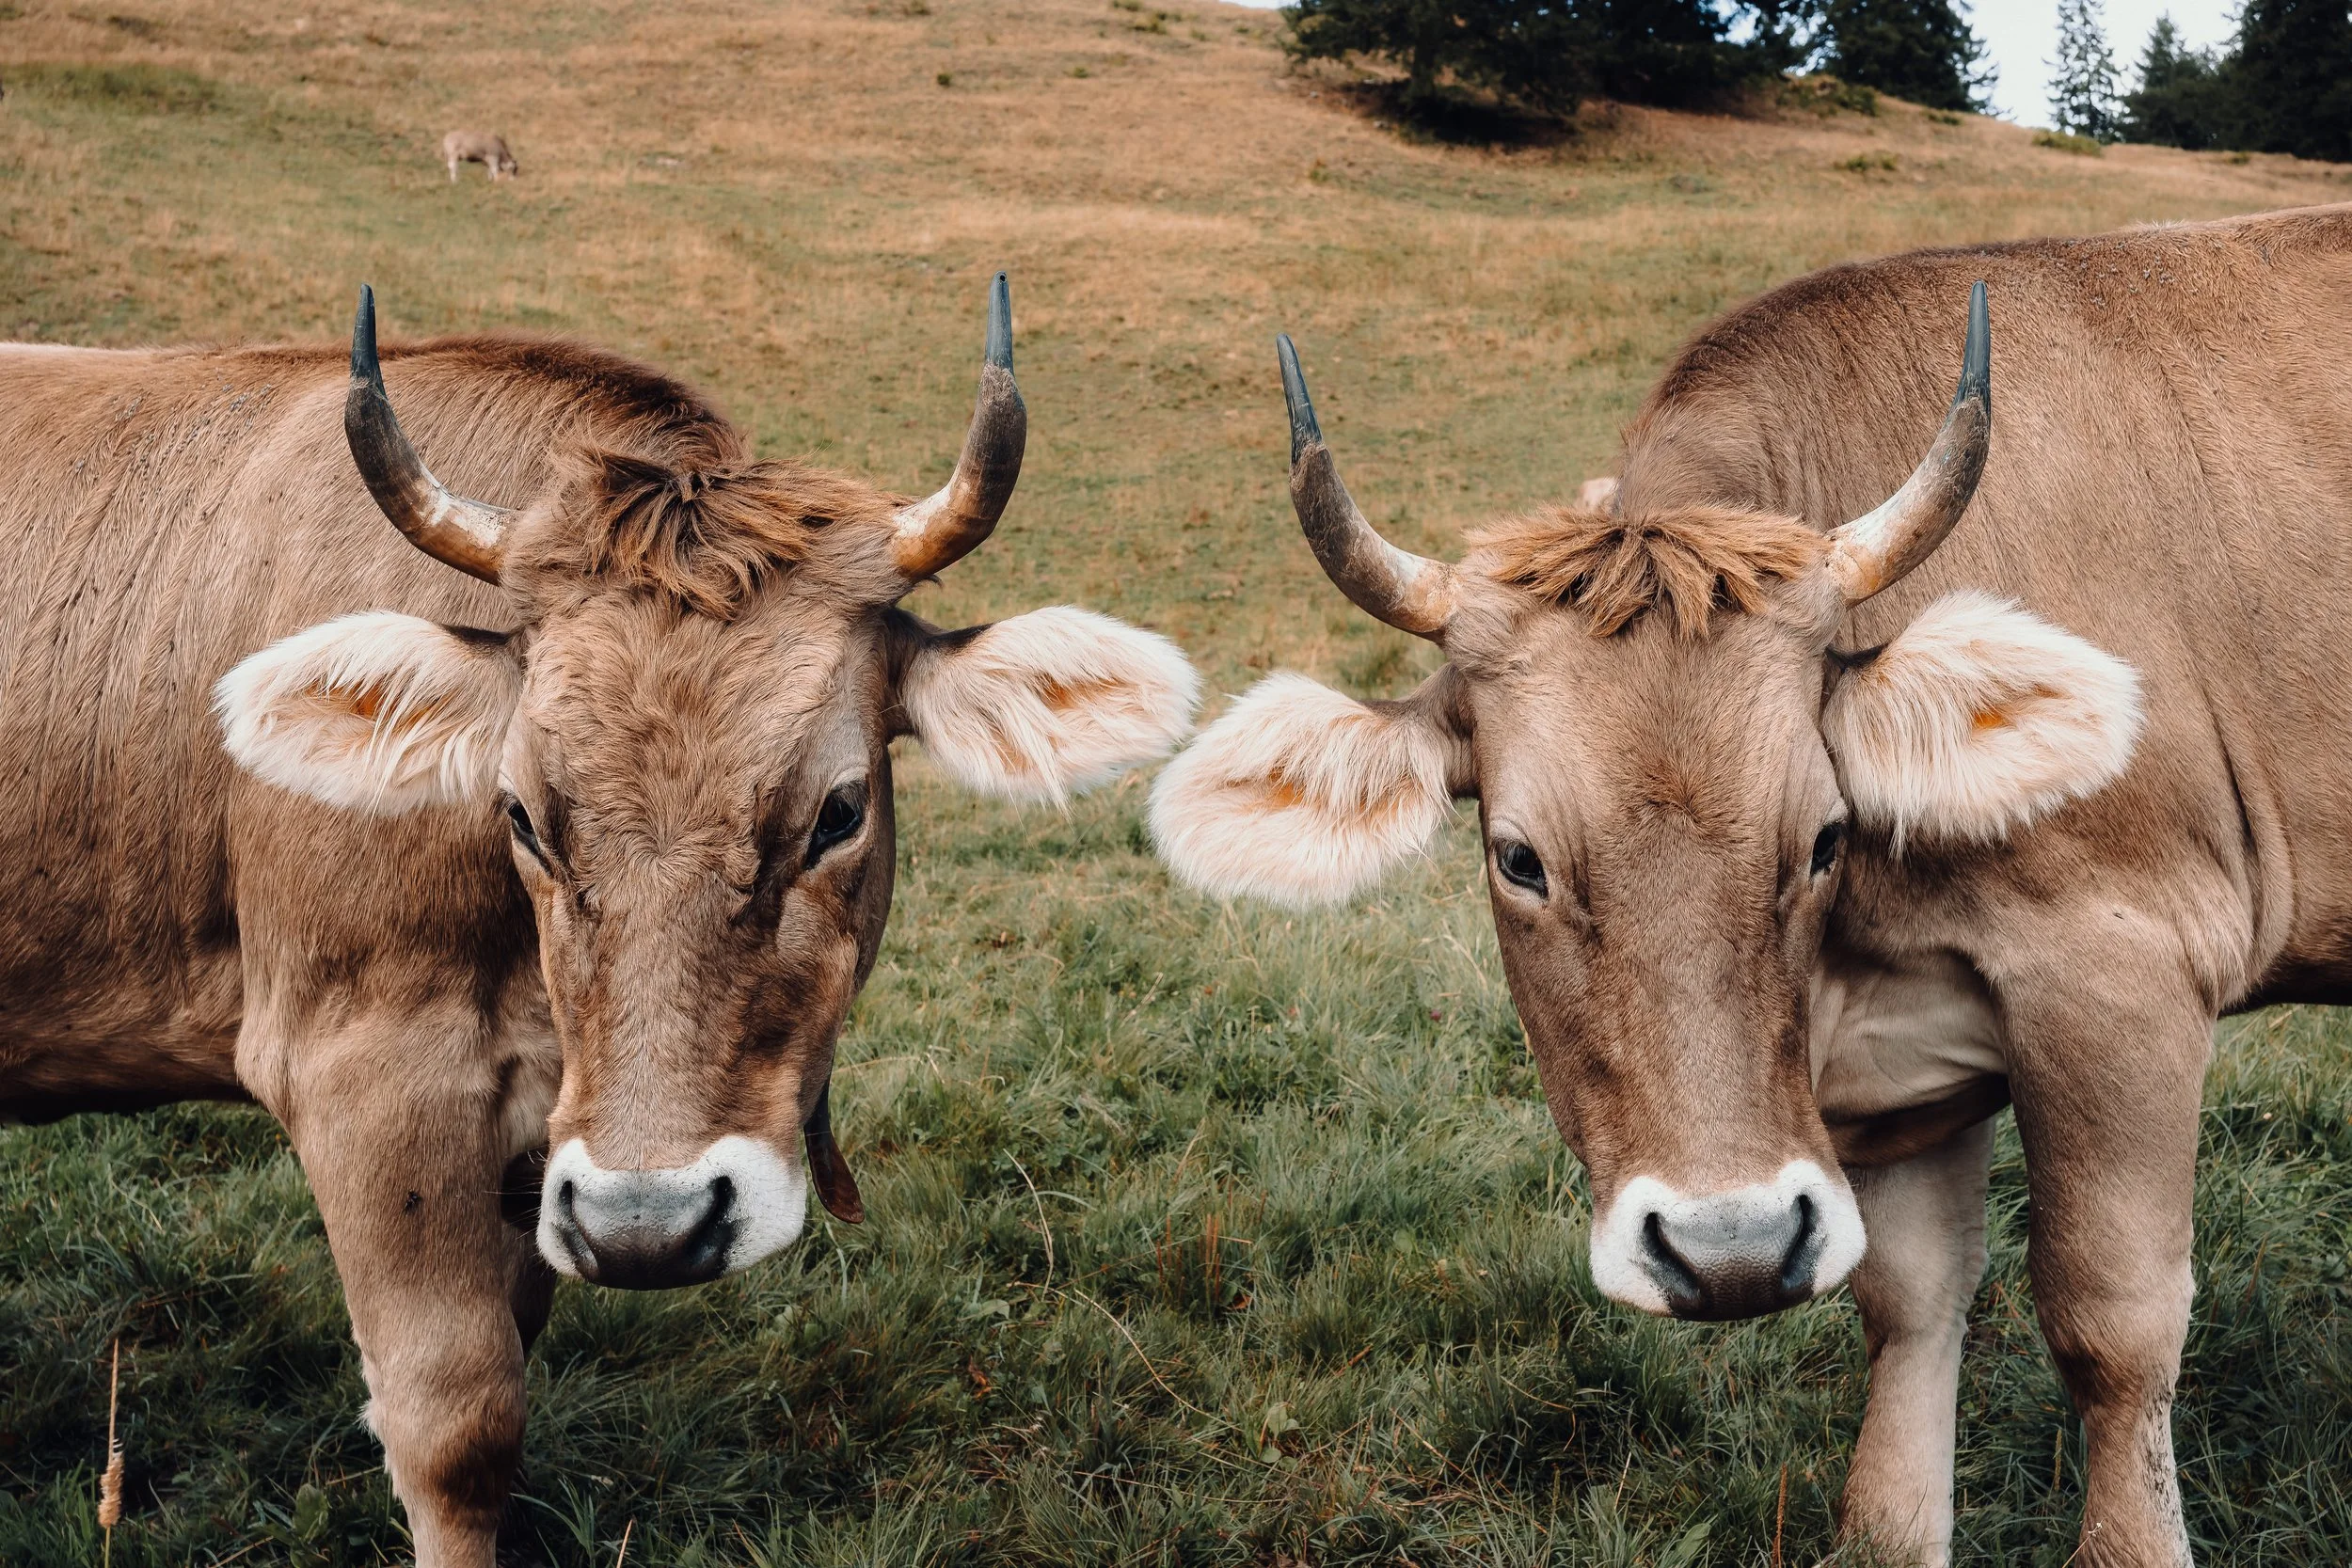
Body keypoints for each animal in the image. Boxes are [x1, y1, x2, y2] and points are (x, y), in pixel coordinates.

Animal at [0, 275, 1199, 1567]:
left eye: (839, 809)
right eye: (520, 808)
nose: (649, 1225)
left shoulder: (539, 1150)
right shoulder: (361, 1073)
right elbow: (454, 1425)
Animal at [1150, 203, 2352, 1566]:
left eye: (1824, 835)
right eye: (1518, 857)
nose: (1727, 1249)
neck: (1854, 973)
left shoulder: (2122, 973)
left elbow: (2114, 1323)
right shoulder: (1907, 1077)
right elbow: (1907, 1318)